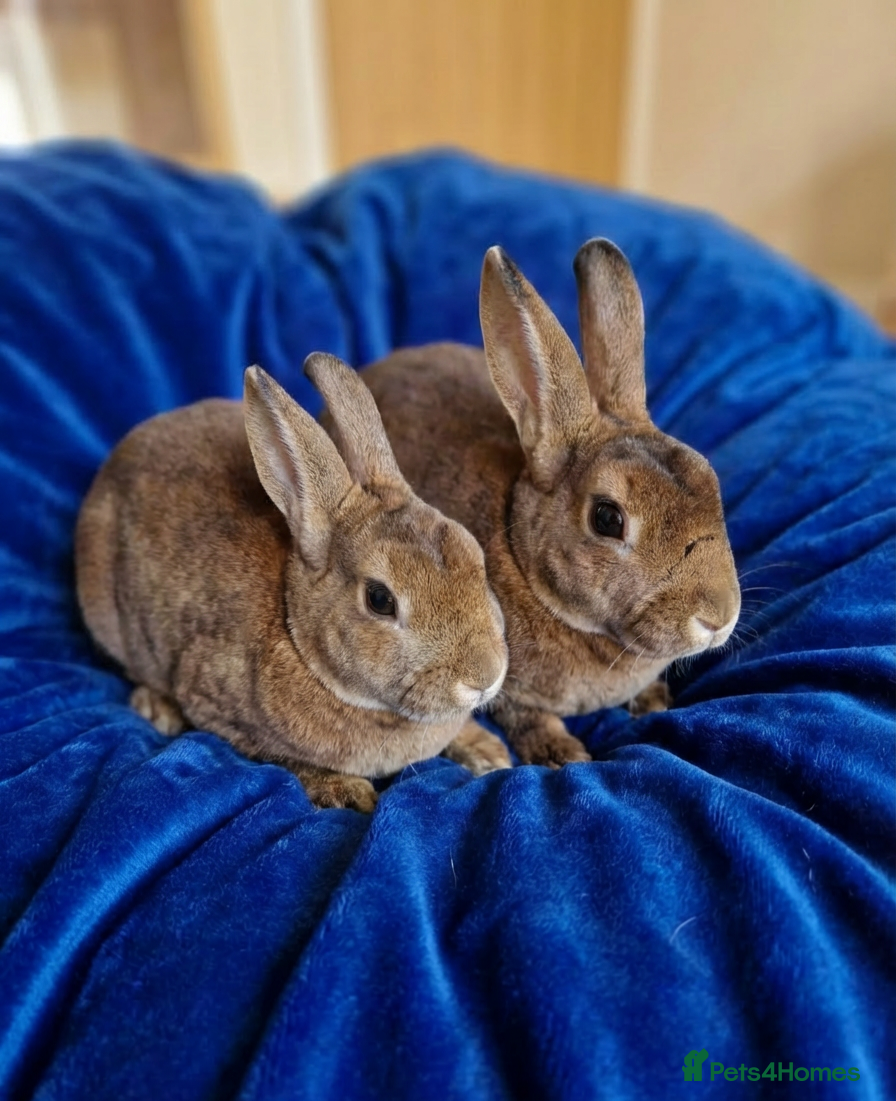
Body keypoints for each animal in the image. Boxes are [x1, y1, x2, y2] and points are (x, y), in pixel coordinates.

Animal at [75, 355, 510, 811]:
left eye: (474, 552)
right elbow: (287, 759)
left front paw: (488, 752)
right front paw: (348, 793)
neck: (297, 636)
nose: (485, 677)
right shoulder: (221, 710)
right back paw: (157, 707)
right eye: (380, 600)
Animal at [352, 239, 741, 768]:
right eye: (607, 518)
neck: (524, 560)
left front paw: (653, 700)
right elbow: (523, 714)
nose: (719, 617)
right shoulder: (504, 685)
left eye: (711, 480)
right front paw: (562, 753)